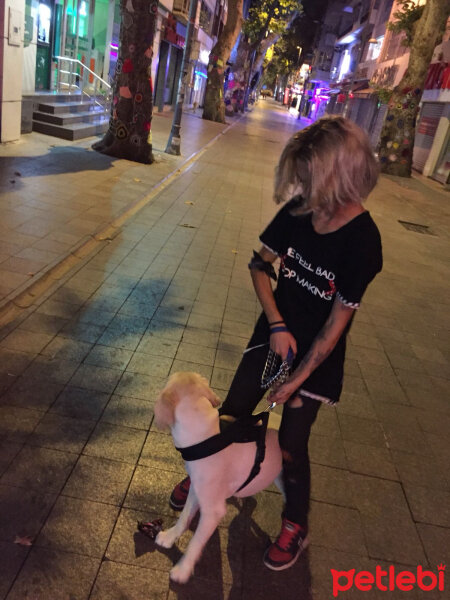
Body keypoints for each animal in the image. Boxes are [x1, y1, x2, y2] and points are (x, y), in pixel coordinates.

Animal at [155, 372, 282, 584]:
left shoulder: (213, 512)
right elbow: (184, 517)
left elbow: (196, 542)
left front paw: (183, 570)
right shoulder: (196, 489)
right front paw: (170, 537)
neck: (207, 439)